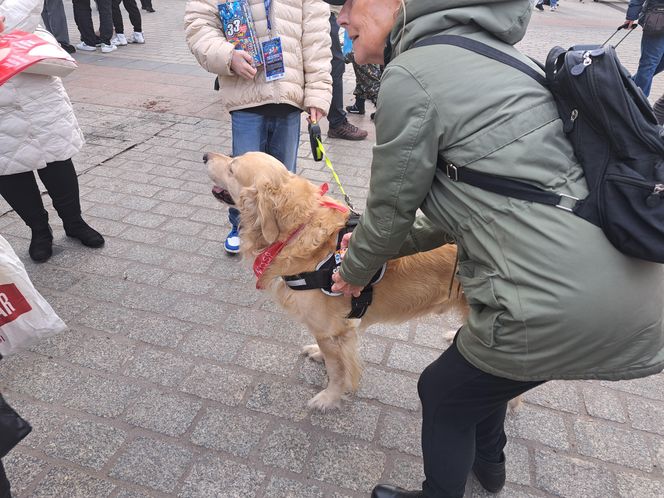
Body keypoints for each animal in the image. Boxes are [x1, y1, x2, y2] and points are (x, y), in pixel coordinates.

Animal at [204, 151, 466, 408]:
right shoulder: (331, 330)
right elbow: (330, 354)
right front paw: (319, 356)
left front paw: (329, 397)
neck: (298, 228)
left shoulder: (333, 329)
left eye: (232, 168)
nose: (206, 156)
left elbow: (337, 369)